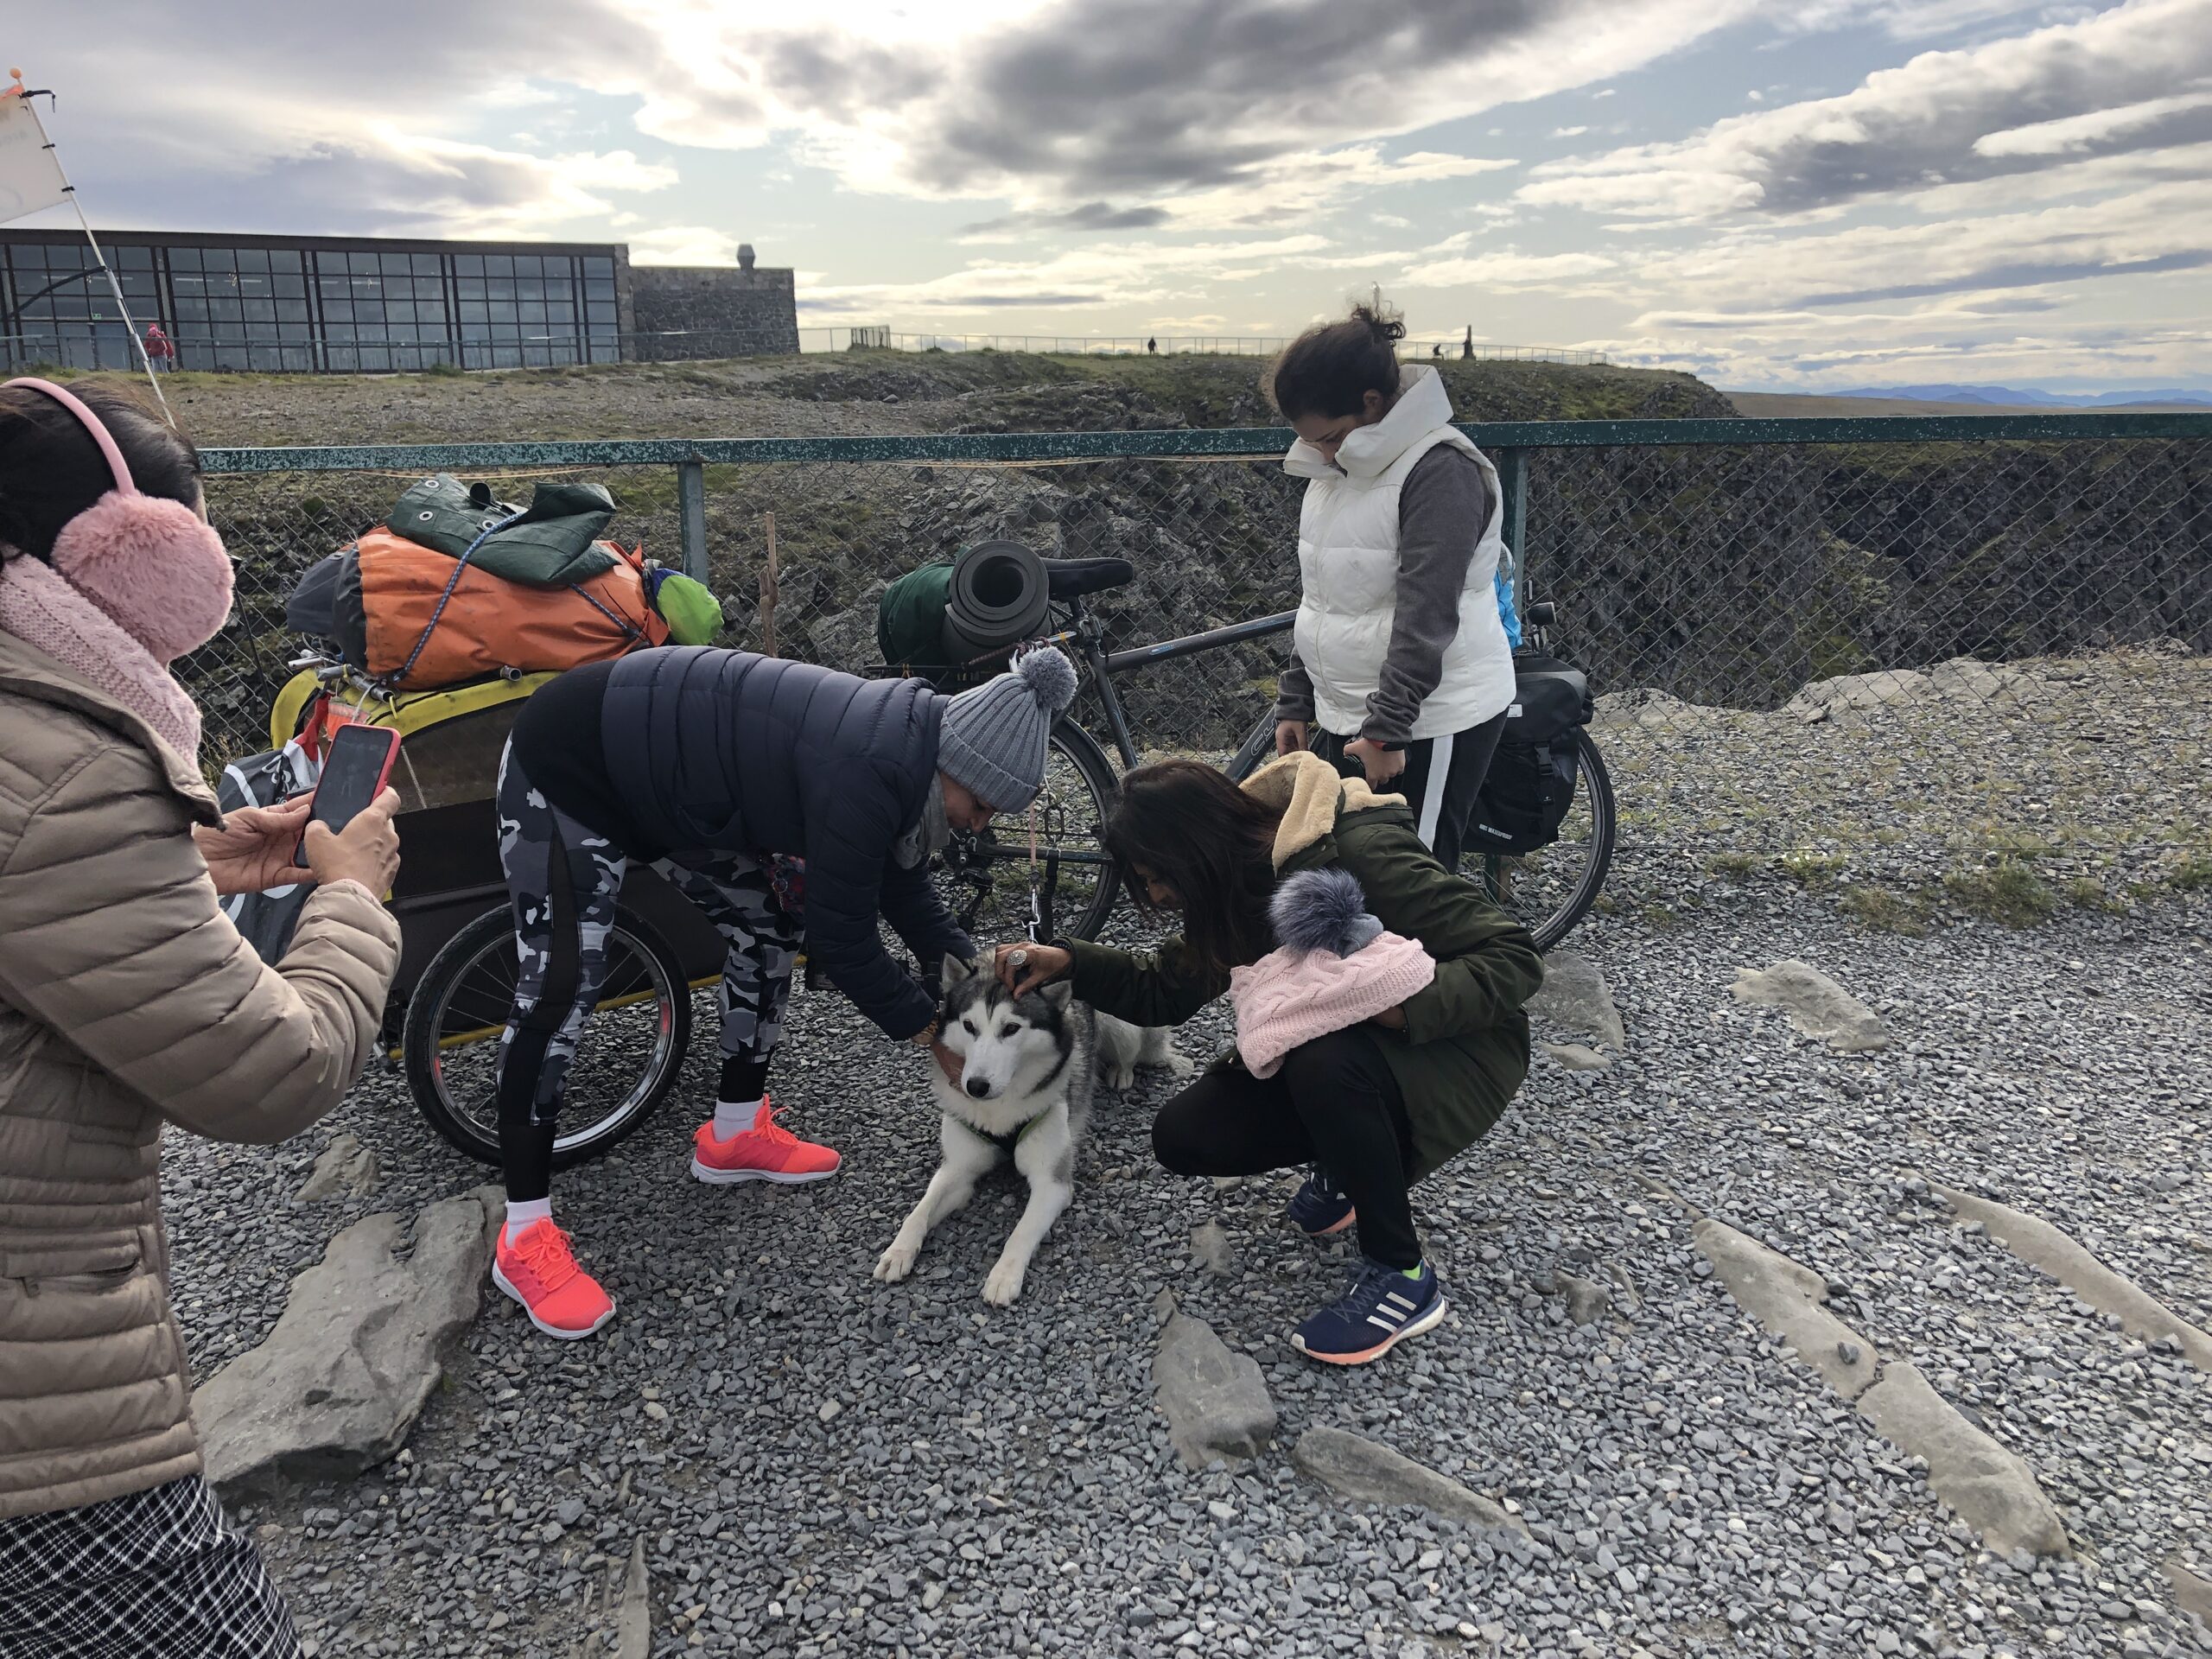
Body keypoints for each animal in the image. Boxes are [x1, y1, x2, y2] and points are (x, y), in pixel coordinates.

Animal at [871, 960, 1185, 1309]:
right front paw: (898, 1251)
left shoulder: (1052, 1183)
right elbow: (921, 1210)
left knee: (1131, 1052)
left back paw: (1121, 1072)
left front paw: (1003, 1276)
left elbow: (1021, 1230)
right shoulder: (958, 1170)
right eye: (968, 1026)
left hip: (1122, 1025)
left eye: (1011, 1029)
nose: (976, 1086)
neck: (999, 1111)